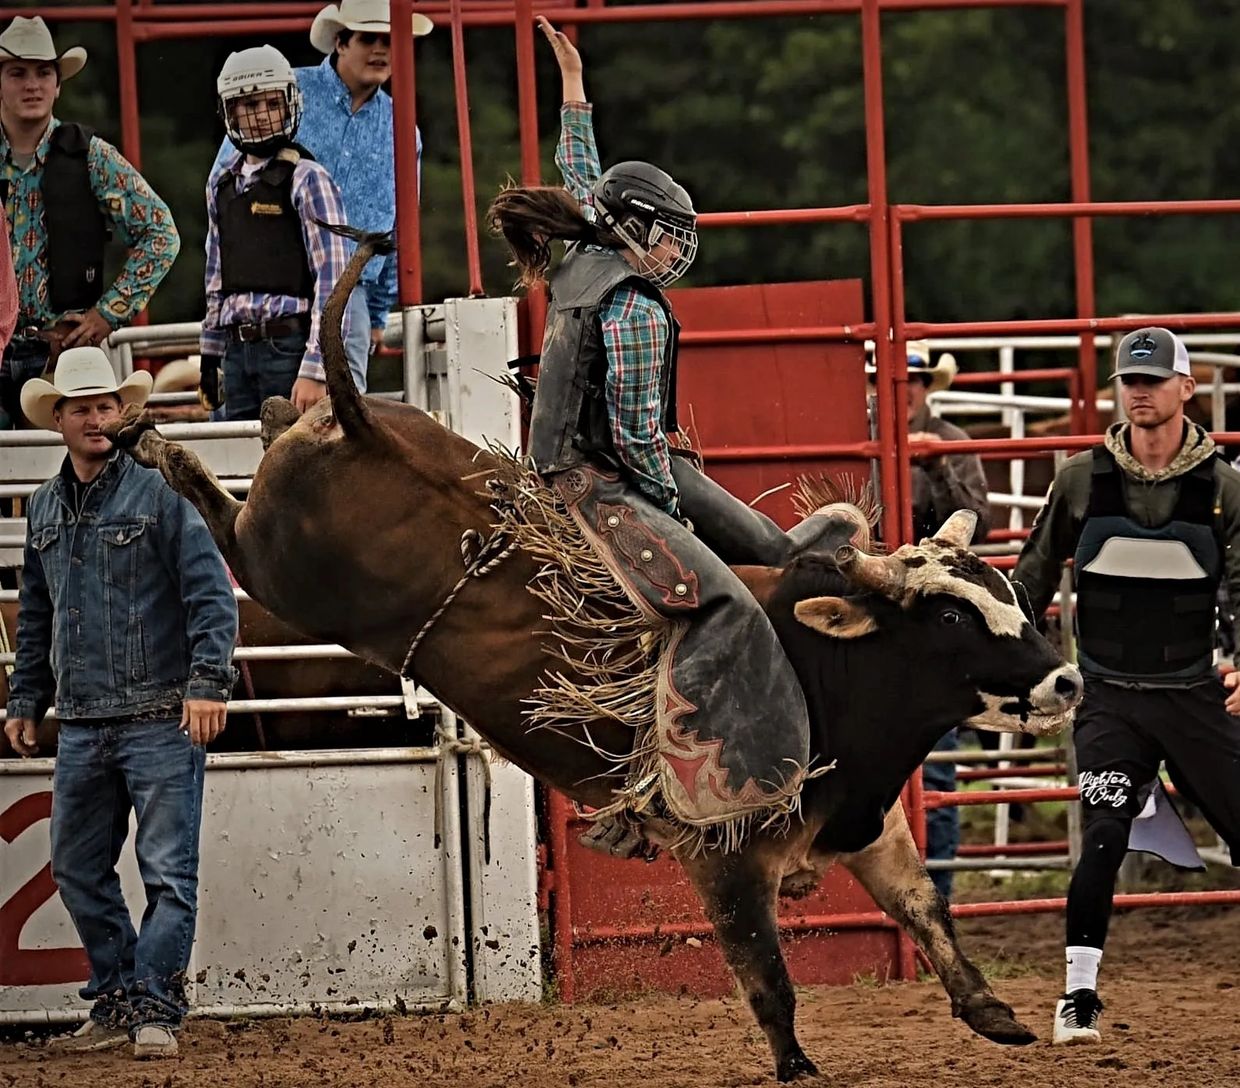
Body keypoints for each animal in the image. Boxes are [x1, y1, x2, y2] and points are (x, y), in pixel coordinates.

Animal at [101, 229, 1081, 1076]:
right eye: (950, 619)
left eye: (1012, 597)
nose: (1066, 678)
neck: (827, 677)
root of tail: (364, 426)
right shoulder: (726, 864)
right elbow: (768, 978)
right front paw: (798, 1066)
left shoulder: (872, 828)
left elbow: (930, 913)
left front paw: (994, 1012)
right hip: (273, 568)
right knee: (220, 517)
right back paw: (152, 440)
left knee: (277, 423)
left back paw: (256, 409)